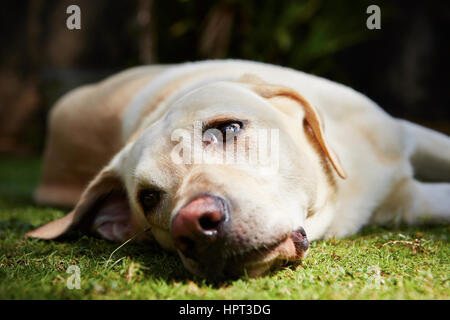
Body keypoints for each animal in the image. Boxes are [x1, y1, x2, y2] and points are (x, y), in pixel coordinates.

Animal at [26, 59, 450, 278]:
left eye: (225, 129)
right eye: (148, 198)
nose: (194, 225)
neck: (340, 185)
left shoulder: (406, 133)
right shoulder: (408, 202)